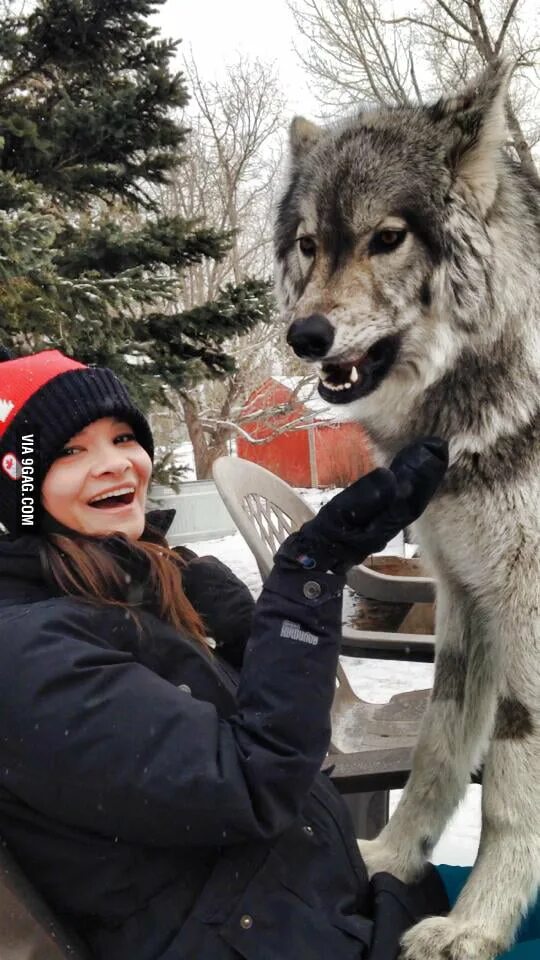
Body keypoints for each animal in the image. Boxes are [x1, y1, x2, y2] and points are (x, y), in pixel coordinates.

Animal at [274, 62, 540, 960]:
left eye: (387, 238)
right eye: (310, 245)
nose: (305, 336)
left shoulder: (526, 606)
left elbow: (510, 784)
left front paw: (476, 926)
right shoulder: (465, 597)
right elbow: (437, 748)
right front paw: (392, 857)